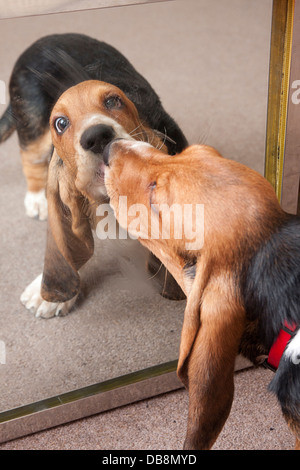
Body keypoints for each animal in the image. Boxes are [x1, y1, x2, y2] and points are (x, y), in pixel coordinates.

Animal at [20, 79, 185, 318]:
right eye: (61, 123)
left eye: (113, 101)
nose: (97, 137)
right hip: (32, 130)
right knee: (31, 161)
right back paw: (36, 200)